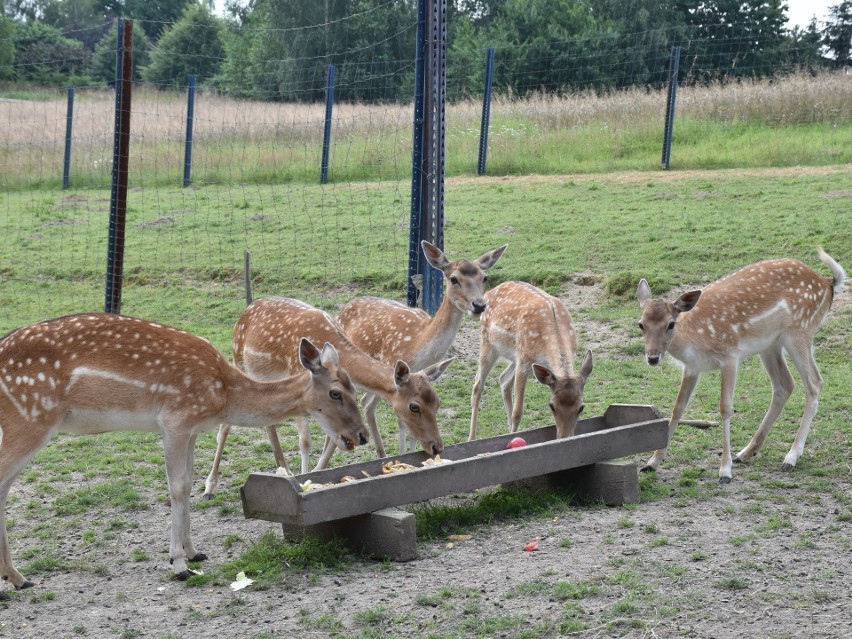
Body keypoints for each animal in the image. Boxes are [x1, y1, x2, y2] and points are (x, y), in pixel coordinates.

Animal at [0, 312, 368, 596]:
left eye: (354, 386)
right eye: (336, 393)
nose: (361, 435)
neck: (223, 394)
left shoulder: (191, 429)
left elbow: (189, 484)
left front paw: (194, 552)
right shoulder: (175, 420)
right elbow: (176, 488)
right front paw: (178, 564)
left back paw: (15, 578)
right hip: (30, 419)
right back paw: (16, 580)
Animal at [203, 298, 452, 498]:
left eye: (437, 402)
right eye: (414, 406)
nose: (437, 446)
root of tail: (245, 310)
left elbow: (334, 440)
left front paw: (317, 475)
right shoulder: (301, 384)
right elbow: (305, 442)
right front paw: (304, 481)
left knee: (267, 422)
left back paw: (284, 468)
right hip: (239, 364)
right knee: (225, 426)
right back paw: (209, 486)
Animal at [334, 240, 506, 456]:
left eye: (485, 277)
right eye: (453, 279)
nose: (479, 305)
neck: (419, 347)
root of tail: (343, 308)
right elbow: (403, 422)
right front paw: (403, 455)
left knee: (366, 403)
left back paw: (381, 453)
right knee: (365, 402)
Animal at [466, 282, 592, 442]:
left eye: (581, 407)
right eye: (551, 405)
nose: (564, 437)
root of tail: (488, 292)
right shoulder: (524, 363)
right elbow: (517, 412)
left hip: (515, 354)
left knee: (503, 379)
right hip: (488, 342)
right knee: (477, 385)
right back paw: (472, 438)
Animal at [640, 250, 844, 484]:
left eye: (671, 324)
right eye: (641, 324)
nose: (653, 357)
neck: (694, 340)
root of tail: (827, 283)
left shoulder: (730, 356)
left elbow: (725, 408)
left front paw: (724, 471)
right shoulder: (692, 368)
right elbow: (677, 407)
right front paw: (652, 462)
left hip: (800, 331)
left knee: (814, 383)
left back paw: (791, 457)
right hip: (770, 345)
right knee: (785, 385)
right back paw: (747, 452)